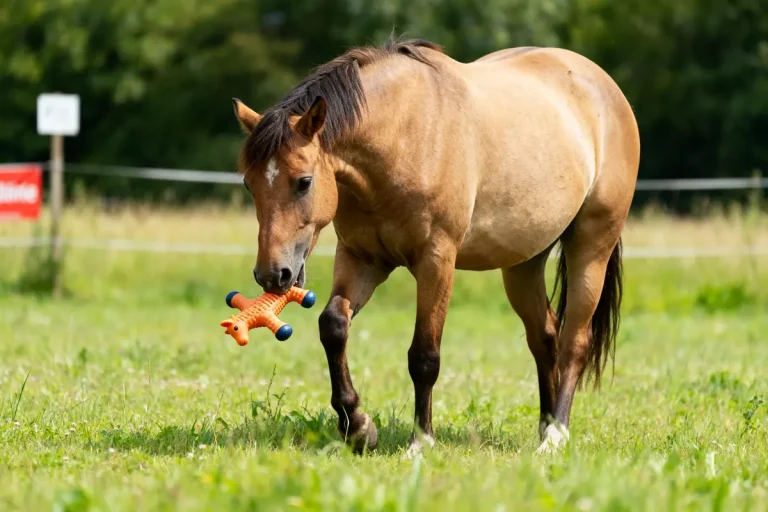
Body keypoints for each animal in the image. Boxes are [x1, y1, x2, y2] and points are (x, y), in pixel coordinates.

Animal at [233, 37, 639, 455]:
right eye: (249, 184)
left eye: (304, 181)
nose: (273, 274)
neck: (402, 136)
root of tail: (603, 85)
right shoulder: (361, 257)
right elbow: (333, 326)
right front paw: (359, 427)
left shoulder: (436, 261)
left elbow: (424, 356)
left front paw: (421, 440)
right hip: (523, 264)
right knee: (545, 338)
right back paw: (545, 427)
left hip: (592, 248)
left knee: (575, 341)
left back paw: (556, 435)